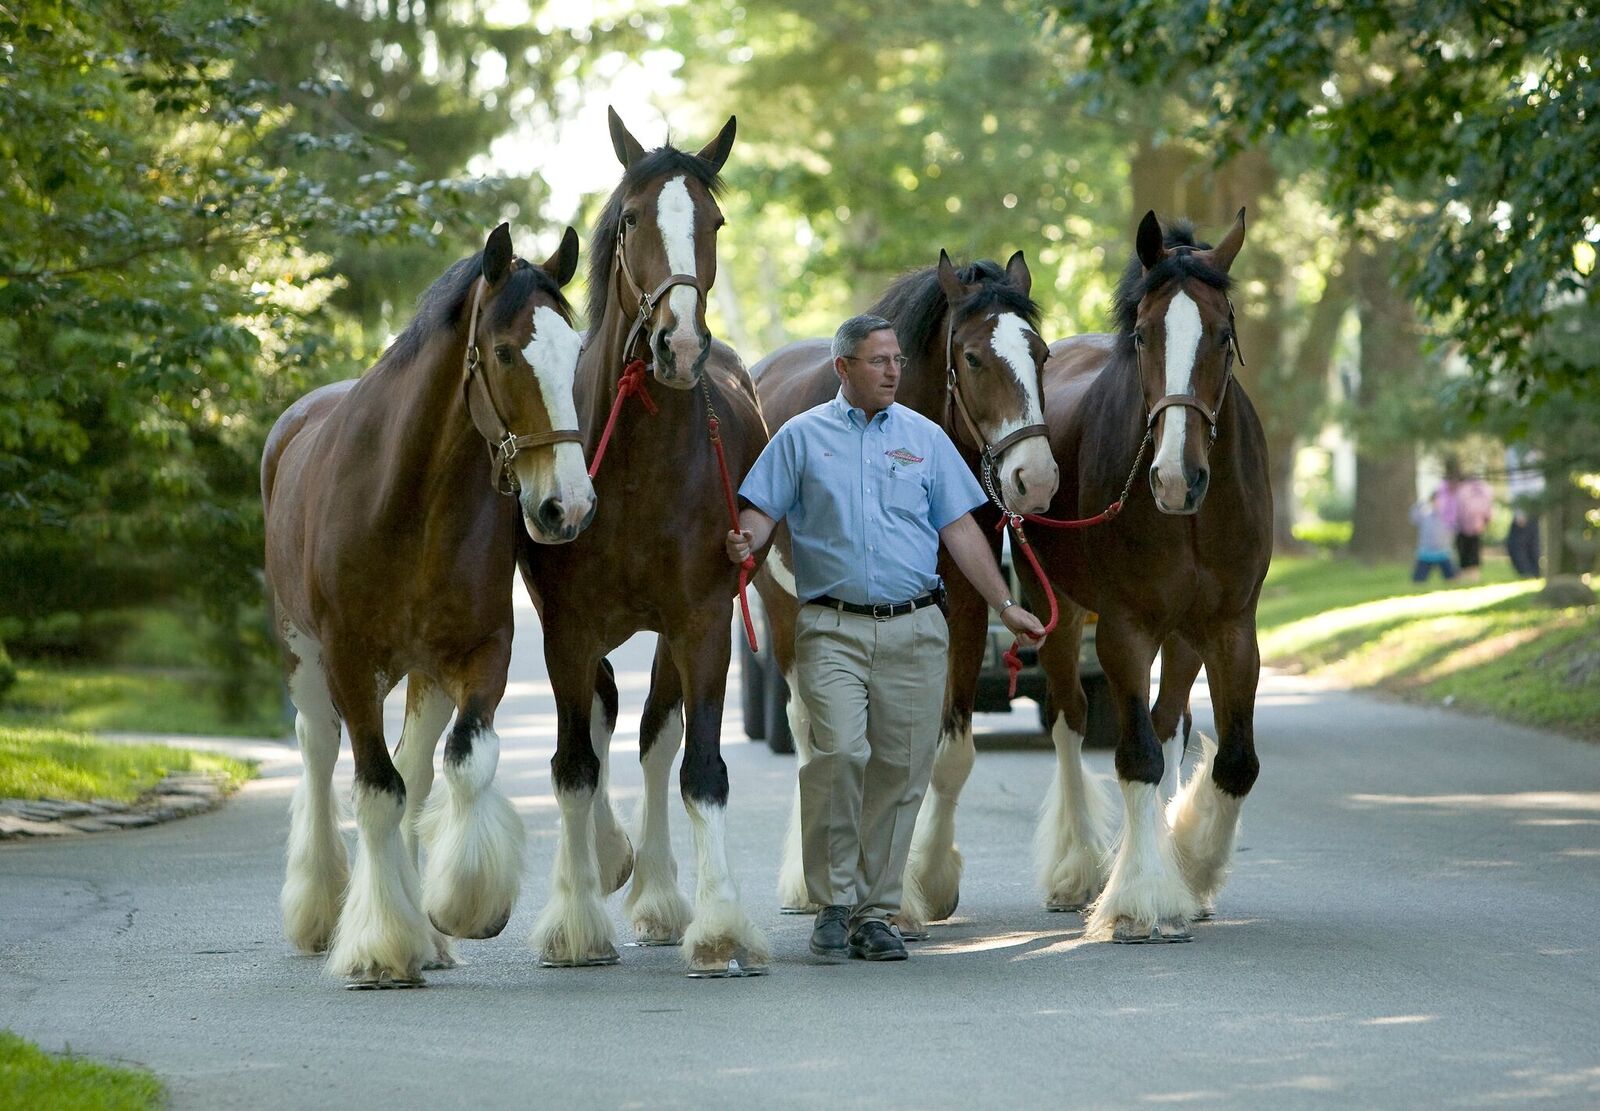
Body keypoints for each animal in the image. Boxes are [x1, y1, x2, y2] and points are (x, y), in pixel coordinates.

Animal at [262, 222, 592, 987]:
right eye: (504, 352)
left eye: (576, 351)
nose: (566, 506)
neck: (411, 500)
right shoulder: (350, 663)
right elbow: (375, 789)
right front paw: (381, 944)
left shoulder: (479, 652)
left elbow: (465, 760)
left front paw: (465, 905)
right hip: (302, 655)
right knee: (319, 752)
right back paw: (322, 909)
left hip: (423, 675)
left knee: (413, 767)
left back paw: (424, 930)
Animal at [513, 109, 773, 976]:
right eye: (630, 220)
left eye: (715, 222)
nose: (679, 346)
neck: (637, 467)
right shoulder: (565, 628)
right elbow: (572, 764)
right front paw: (573, 921)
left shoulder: (702, 620)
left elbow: (700, 767)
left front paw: (719, 923)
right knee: (597, 723)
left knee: (658, 736)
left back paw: (658, 893)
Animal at [1007, 209, 1271, 941]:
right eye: (1144, 334)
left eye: (1223, 333)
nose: (1176, 478)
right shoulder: (1123, 630)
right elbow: (1135, 757)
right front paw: (1142, 899)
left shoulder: (1231, 628)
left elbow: (1234, 761)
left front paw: (1194, 870)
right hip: (1058, 610)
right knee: (1069, 718)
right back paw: (1078, 870)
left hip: (1183, 635)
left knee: (1166, 719)